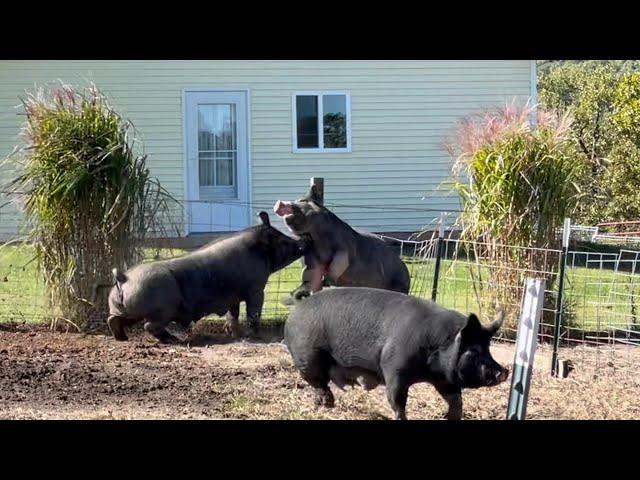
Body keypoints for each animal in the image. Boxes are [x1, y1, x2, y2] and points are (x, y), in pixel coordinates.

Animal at [105, 211, 310, 342]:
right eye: (282, 239)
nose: (304, 239)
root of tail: (124, 278)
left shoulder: (233, 295)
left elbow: (233, 313)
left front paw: (233, 334)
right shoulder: (255, 289)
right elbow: (253, 312)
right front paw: (252, 336)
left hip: (124, 309)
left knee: (114, 319)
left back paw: (122, 338)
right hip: (162, 308)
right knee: (150, 326)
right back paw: (173, 340)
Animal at [272, 186, 408, 302]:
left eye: (302, 200)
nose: (279, 203)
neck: (318, 240)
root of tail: (406, 272)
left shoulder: (344, 247)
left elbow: (338, 262)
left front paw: (328, 282)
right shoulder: (311, 255)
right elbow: (310, 272)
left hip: (400, 285)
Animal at [284, 286, 510, 418]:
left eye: (488, 349)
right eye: (473, 351)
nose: (504, 372)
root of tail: (299, 305)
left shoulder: (445, 380)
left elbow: (456, 401)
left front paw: (451, 417)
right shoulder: (394, 370)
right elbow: (397, 401)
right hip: (306, 357)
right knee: (318, 382)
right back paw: (327, 406)